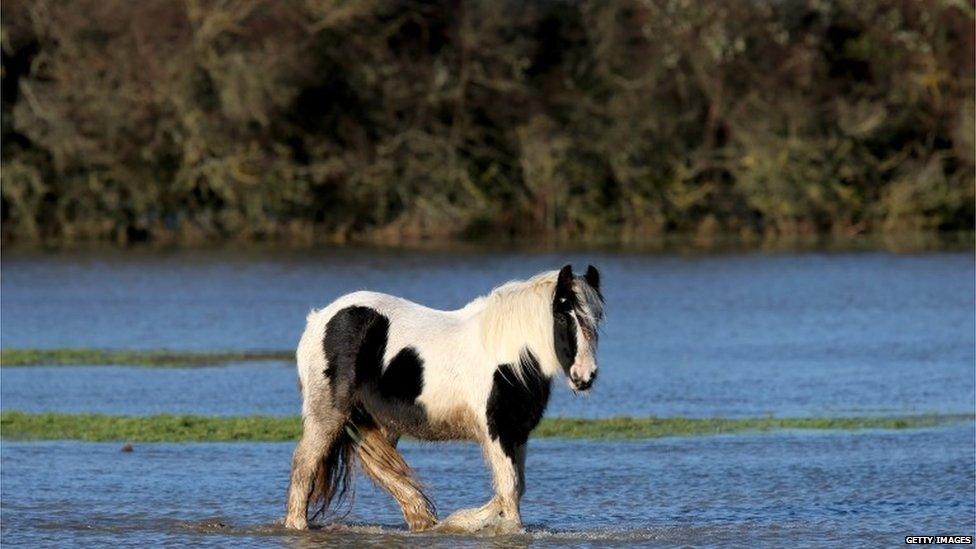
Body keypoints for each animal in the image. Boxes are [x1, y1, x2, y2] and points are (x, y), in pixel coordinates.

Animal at [282, 264, 604, 532]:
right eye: (563, 315)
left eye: (596, 319)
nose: (585, 375)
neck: (509, 356)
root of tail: (318, 319)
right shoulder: (497, 431)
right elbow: (509, 488)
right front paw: (504, 529)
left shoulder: (518, 432)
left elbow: (513, 488)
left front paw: (463, 521)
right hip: (327, 415)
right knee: (305, 464)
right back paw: (297, 525)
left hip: (378, 422)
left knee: (382, 469)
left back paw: (423, 520)